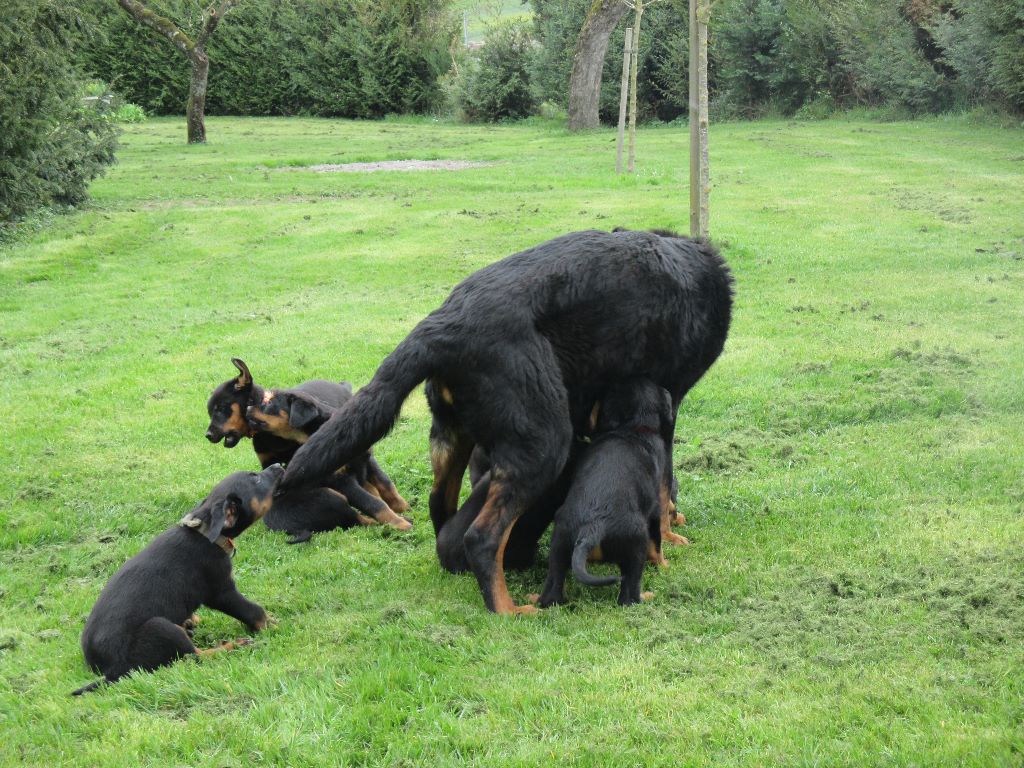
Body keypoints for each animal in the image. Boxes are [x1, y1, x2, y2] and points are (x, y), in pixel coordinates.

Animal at [71, 462, 282, 696]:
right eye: (256, 479)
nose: (278, 465)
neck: (206, 532)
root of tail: (110, 671)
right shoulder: (222, 591)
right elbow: (253, 610)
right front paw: (271, 624)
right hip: (161, 627)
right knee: (193, 657)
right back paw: (233, 645)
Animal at [203, 358, 407, 514]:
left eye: (220, 409)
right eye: (211, 412)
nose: (208, 435)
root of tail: (341, 386)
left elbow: (386, 483)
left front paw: (403, 509)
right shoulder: (272, 463)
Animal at [247, 391, 411, 528]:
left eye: (269, 403)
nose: (248, 407)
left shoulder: (367, 459)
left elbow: (386, 485)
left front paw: (404, 508)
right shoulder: (340, 480)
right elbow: (372, 502)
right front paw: (399, 523)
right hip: (329, 496)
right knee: (355, 519)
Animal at [536, 378, 671, 606]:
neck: (632, 427)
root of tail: (592, 528)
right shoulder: (654, 510)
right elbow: (657, 543)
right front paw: (664, 565)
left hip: (560, 542)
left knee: (552, 591)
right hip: (636, 541)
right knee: (628, 594)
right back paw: (645, 596)